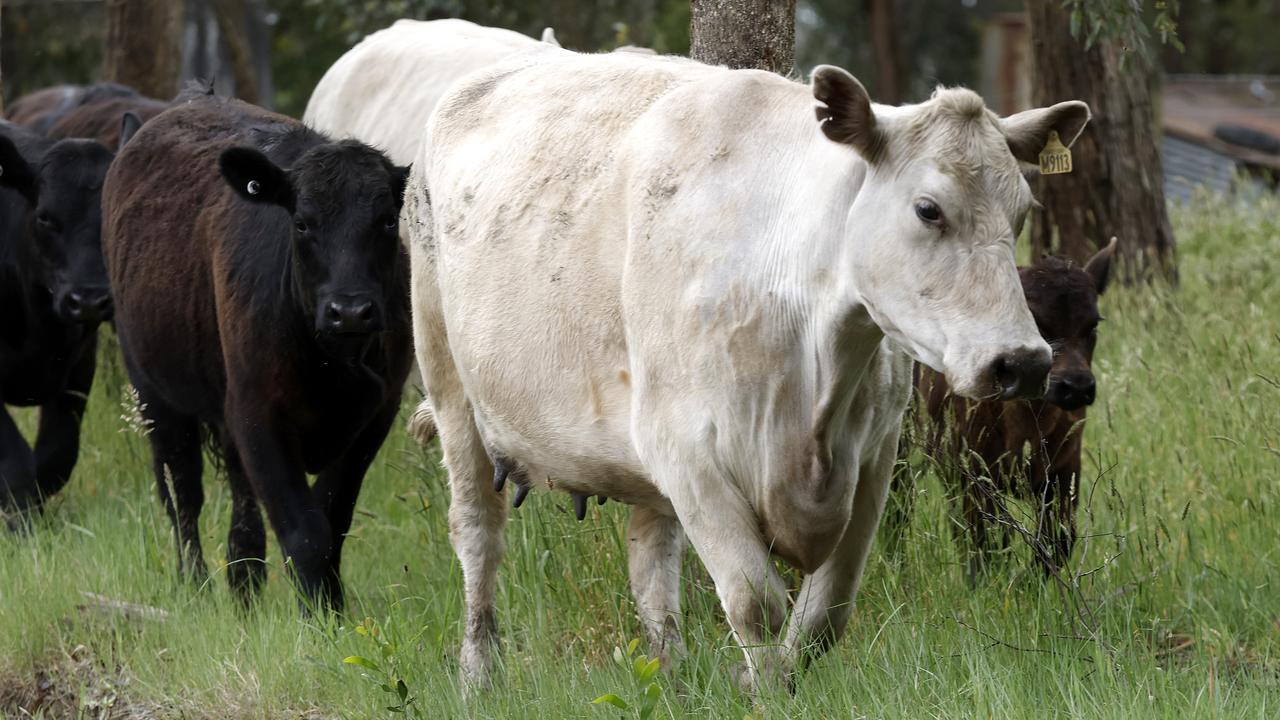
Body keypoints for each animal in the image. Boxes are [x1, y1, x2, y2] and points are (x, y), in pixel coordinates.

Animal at [0, 122, 115, 525]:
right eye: (45, 217)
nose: (90, 300)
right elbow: (15, 459)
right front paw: (21, 520)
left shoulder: (79, 363)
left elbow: (57, 453)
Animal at [101, 86, 412, 609]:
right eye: (302, 223)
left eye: (388, 221)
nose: (350, 311)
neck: (332, 364)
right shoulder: (257, 412)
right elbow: (306, 531)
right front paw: (321, 616)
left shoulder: (377, 413)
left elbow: (332, 517)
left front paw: (330, 603)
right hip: (154, 394)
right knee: (183, 493)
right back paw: (197, 583)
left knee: (240, 500)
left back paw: (244, 581)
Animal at [407, 47, 1088, 694]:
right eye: (928, 209)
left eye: (1022, 212)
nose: (1022, 362)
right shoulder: (688, 452)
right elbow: (756, 601)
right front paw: (762, 690)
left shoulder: (872, 459)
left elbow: (824, 616)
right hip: (449, 381)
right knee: (477, 532)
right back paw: (477, 674)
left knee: (651, 557)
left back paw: (672, 677)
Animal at [892, 238, 1116, 582]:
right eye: (1033, 319)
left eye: (1093, 324)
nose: (1076, 386)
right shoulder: (970, 472)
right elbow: (988, 541)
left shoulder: (1064, 472)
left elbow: (1056, 540)